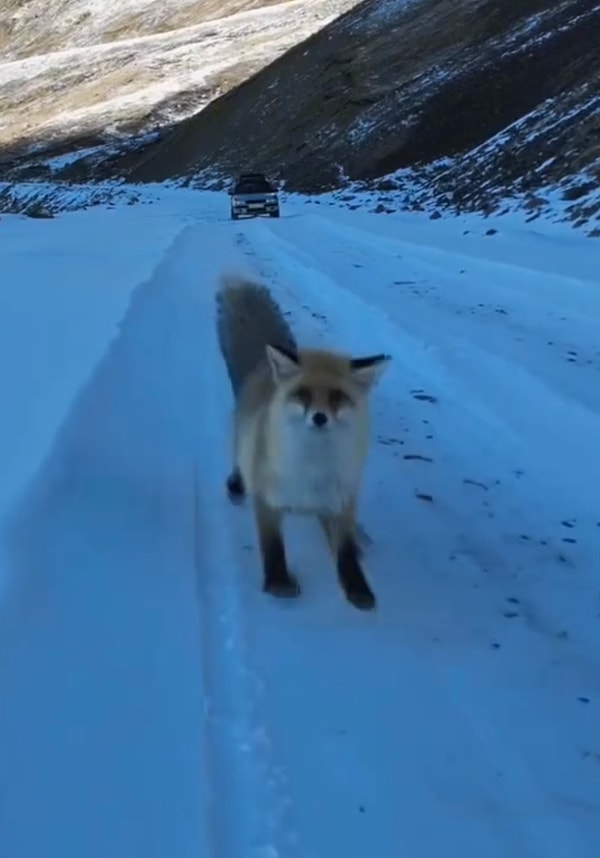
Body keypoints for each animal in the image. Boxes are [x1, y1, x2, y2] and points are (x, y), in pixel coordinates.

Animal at [216, 274, 390, 608]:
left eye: (337, 398)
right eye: (303, 395)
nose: (319, 418)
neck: (313, 467)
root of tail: (262, 367)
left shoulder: (343, 499)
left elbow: (346, 551)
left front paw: (357, 587)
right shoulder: (267, 500)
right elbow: (273, 547)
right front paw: (278, 583)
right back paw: (236, 485)